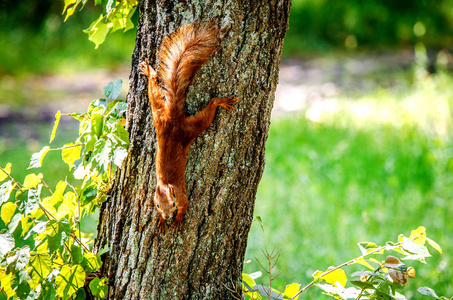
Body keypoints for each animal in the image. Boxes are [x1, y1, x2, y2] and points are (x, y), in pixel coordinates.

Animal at [139, 21, 238, 232]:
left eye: (173, 203)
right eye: (157, 205)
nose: (167, 216)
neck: (167, 185)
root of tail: (172, 118)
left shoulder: (183, 197)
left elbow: (186, 206)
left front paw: (176, 220)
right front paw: (161, 221)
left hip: (189, 127)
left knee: (207, 110)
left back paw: (220, 102)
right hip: (158, 117)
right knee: (154, 91)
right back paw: (149, 72)